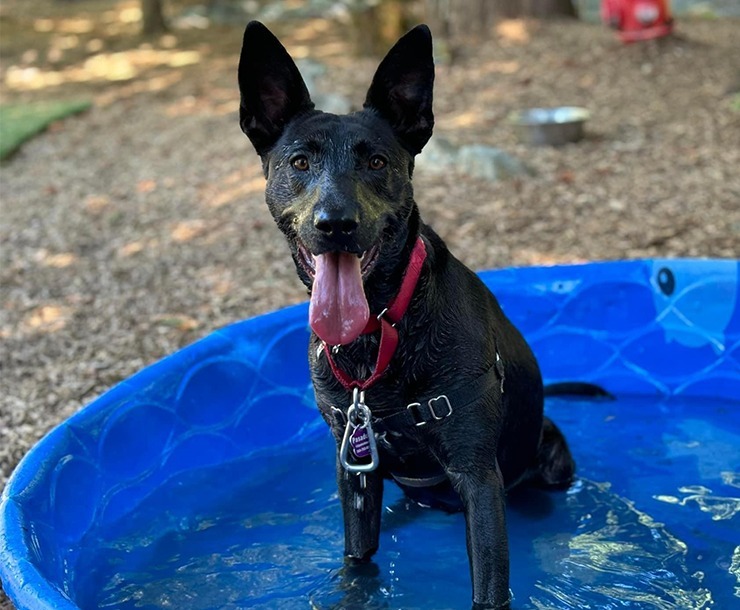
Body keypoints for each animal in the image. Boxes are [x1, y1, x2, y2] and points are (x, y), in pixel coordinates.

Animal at [240, 22, 576, 608]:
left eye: (377, 162)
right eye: (300, 162)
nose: (336, 224)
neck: (378, 333)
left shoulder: (477, 477)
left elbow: (490, 587)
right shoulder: (354, 470)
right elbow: (357, 560)